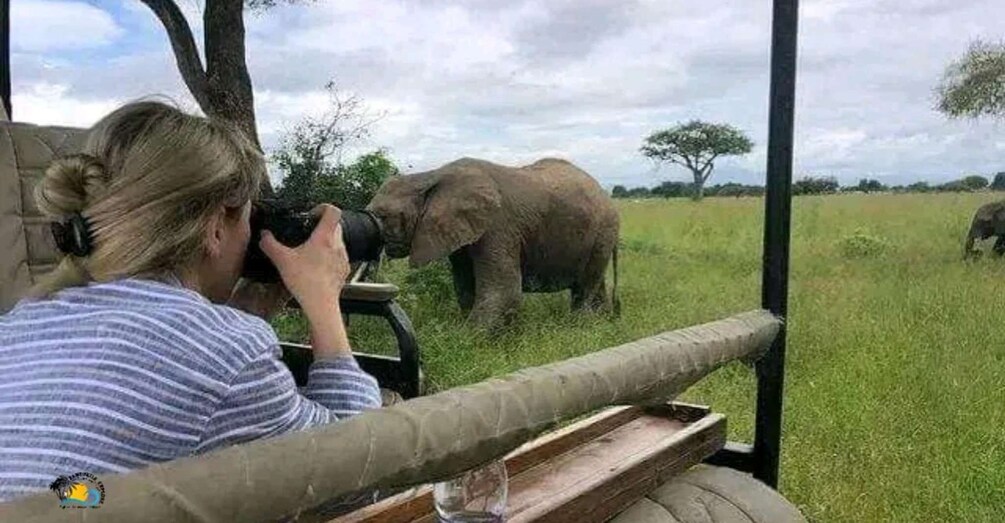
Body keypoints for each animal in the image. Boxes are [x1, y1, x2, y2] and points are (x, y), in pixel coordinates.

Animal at [366, 157, 620, 329]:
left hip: (603, 231)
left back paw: (578, 328)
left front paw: (459, 340)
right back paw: (604, 324)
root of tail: (605, 194)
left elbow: (504, 291)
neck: (429, 176)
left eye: (382, 217)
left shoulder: (498, 226)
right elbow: (466, 286)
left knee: (584, 288)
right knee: (596, 284)